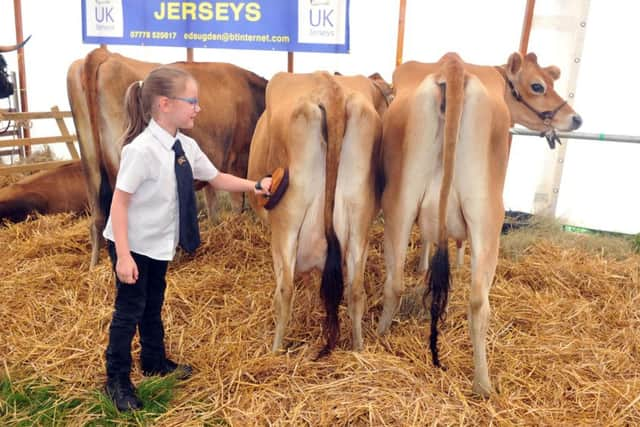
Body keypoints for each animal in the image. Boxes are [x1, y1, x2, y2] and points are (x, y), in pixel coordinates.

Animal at [69, 46, 268, 268]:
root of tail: (104, 55)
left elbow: (212, 200)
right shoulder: (238, 158)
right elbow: (236, 205)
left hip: (90, 165)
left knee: (97, 221)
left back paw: (93, 267)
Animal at [248, 71, 392, 358]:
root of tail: (330, 88)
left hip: (287, 223)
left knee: (285, 290)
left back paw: (275, 351)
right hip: (359, 223)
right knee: (355, 290)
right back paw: (358, 349)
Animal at [378, 52, 584, 398]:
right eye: (538, 85)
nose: (576, 119)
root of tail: (454, 66)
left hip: (399, 203)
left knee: (394, 283)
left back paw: (376, 340)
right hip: (488, 215)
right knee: (478, 302)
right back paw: (484, 384)